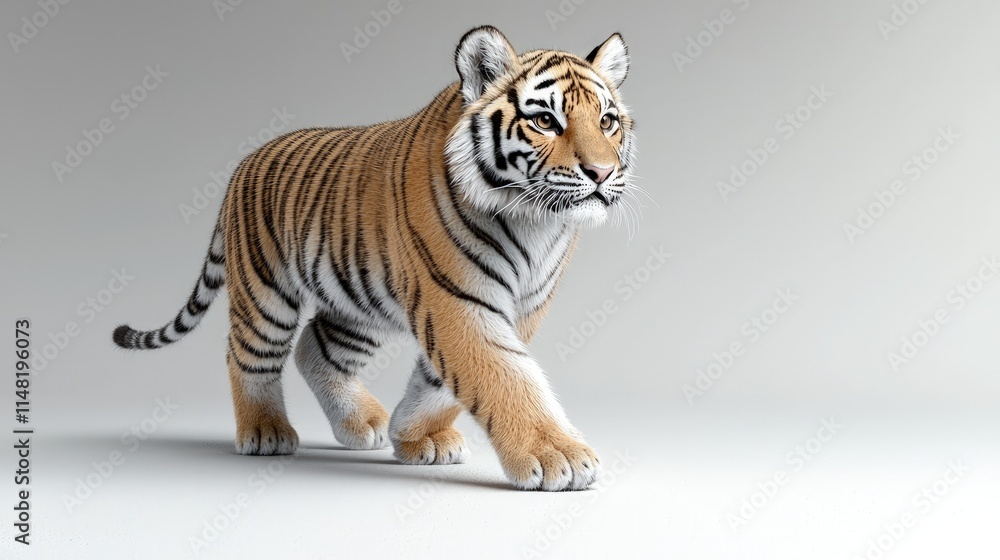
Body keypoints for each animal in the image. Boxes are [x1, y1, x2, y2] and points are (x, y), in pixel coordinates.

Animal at [113, 26, 637, 491]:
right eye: (545, 121)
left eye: (607, 121)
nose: (601, 172)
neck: (535, 221)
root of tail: (243, 163)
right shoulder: (457, 300)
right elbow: (505, 376)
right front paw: (558, 457)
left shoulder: (522, 306)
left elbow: (442, 383)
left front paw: (416, 435)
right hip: (266, 293)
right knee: (249, 355)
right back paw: (265, 431)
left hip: (360, 302)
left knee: (313, 346)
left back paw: (362, 423)